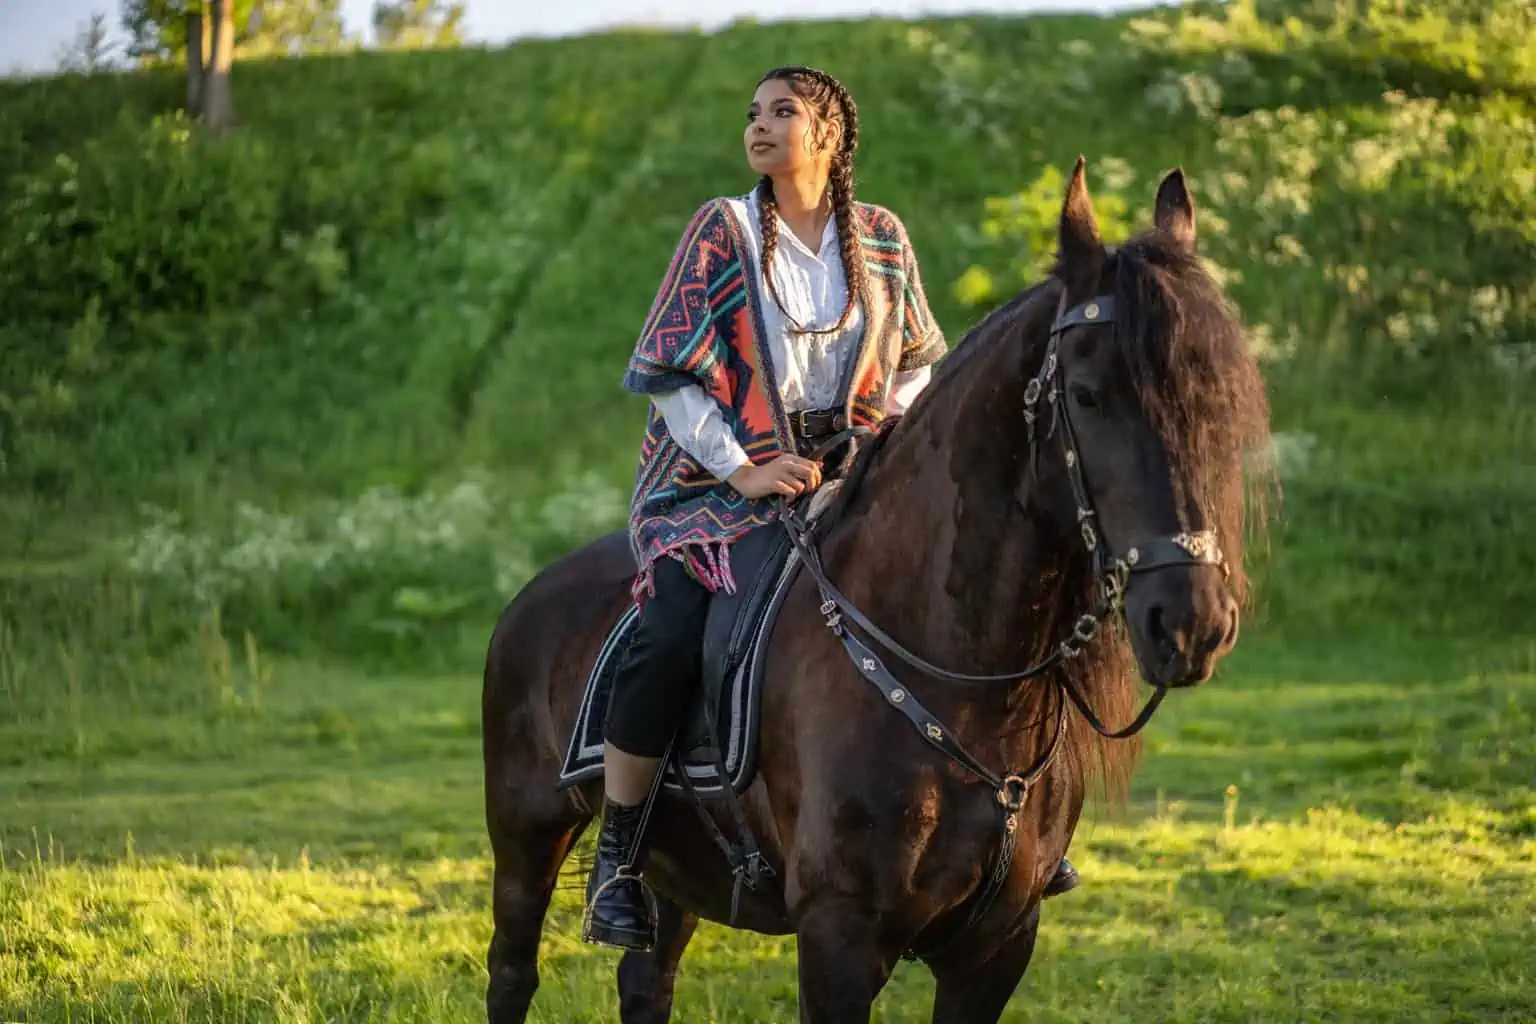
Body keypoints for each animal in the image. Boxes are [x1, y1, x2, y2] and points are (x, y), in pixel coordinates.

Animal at [476, 158, 1271, 1019]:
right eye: (1089, 395)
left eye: (1219, 401)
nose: (1190, 624)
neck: (961, 685)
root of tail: (529, 598)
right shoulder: (841, 937)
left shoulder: (996, 948)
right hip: (525, 834)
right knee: (512, 973)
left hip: (677, 871)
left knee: (645, 982)